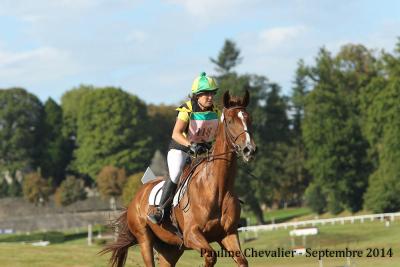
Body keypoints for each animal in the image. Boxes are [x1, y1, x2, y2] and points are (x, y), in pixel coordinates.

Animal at [101, 90, 256, 267]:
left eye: (249, 119)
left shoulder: (228, 234)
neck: (217, 188)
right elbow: (210, 256)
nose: (249, 150)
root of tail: (136, 197)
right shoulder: (191, 235)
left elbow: (242, 260)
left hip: (171, 248)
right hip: (144, 239)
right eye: (230, 121)